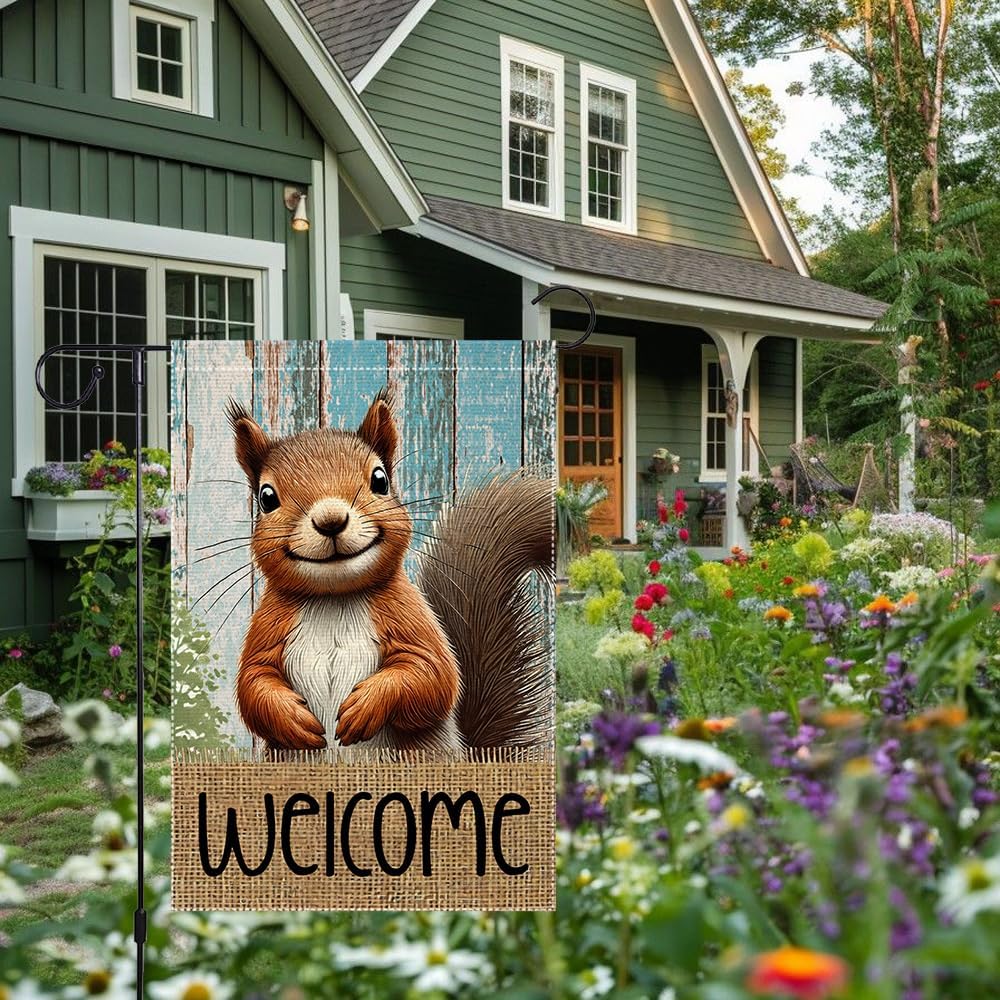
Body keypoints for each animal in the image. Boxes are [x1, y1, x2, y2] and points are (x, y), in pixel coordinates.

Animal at [225, 389, 552, 755]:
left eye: (380, 480)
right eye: (267, 498)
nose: (330, 520)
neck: (335, 598)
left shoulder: (409, 613)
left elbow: (432, 674)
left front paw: (366, 706)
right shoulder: (269, 624)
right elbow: (254, 681)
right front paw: (292, 718)